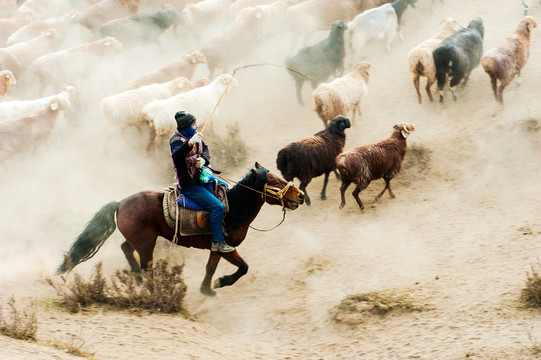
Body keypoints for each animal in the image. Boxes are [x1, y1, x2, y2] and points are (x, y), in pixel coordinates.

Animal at [60, 163, 304, 296]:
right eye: (274, 181)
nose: (300, 195)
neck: (234, 208)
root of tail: (120, 203)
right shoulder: (226, 247)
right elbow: (243, 267)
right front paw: (221, 283)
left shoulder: (217, 248)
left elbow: (210, 268)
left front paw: (208, 289)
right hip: (147, 243)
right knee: (146, 266)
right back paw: (151, 290)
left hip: (139, 239)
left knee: (126, 249)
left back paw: (137, 279)